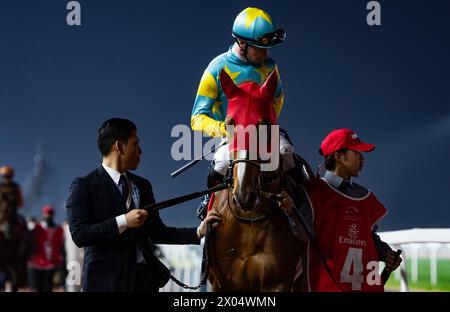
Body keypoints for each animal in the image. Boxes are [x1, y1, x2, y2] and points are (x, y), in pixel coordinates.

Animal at [206, 69, 308, 292]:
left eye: (267, 126)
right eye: (229, 124)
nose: (244, 195)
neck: (249, 221)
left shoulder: (277, 282)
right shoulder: (222, 283)